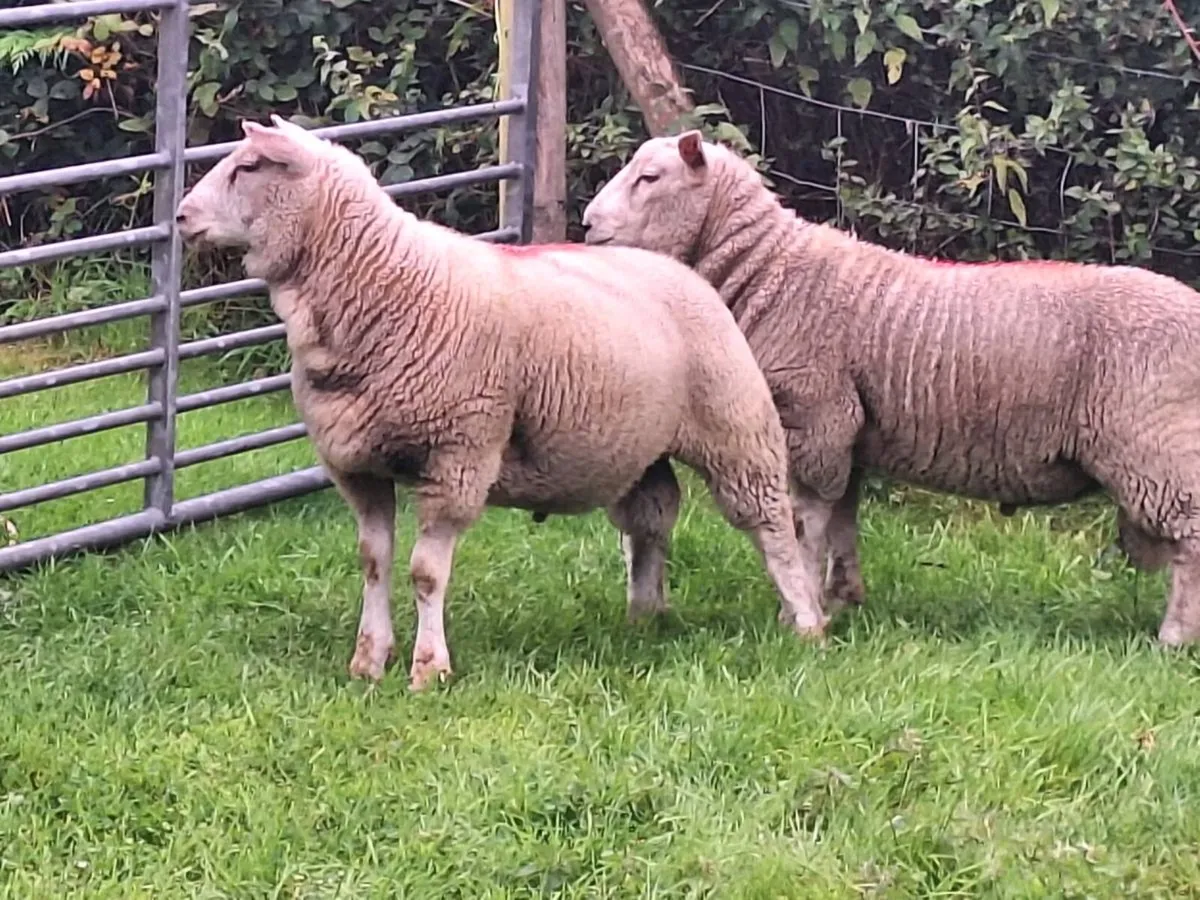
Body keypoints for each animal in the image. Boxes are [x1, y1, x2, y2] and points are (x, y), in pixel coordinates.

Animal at [173, 116, 829, 690]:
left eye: (250, 166)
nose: (180, 216)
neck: (385, 287)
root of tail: (676, 267)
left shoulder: (458, 454)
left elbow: (425, 572)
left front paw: (428, 670)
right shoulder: (357, 466)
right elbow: (373, 561)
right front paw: (369, 661)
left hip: (734, 424)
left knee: (773, 523)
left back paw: (806, 623)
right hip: (640, 446)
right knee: (653, 516)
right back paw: (645, 616)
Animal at [581, 130, 1200, 647]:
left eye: (650, 178)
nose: (587, 224)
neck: (770, 272)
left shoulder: (815, 416)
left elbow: (806, 523)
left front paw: (800, 609)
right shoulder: (848, 431)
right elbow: (843, 518)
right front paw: (843, 596)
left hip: (1155, 446)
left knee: (1190, 539)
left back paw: (1174, 638)